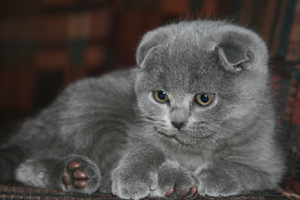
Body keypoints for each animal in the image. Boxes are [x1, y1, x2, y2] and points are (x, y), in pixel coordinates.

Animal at [0, 20, 284, 198]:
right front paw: (146, 175)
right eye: (161, 96)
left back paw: (72, 174)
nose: (177, 121)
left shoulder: (269, 165)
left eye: (204, 98)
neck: (192, 151)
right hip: (95, 109)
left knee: (25, 167)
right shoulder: (136, 130)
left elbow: (245, 170)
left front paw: (214, 175)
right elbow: (142, 148)